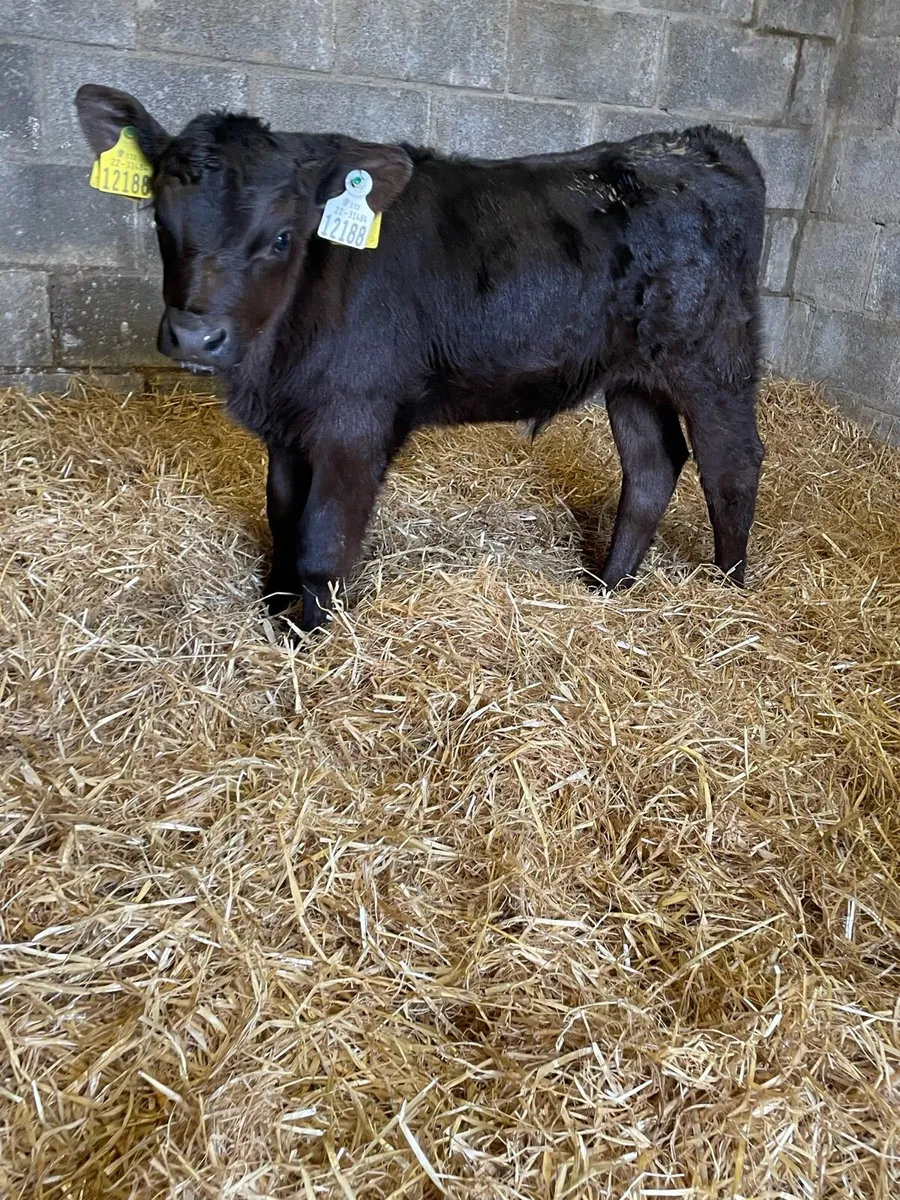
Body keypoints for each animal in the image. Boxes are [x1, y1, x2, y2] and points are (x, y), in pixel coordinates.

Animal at [75, 84, 766, 633]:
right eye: (160, 222)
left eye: (280, 238)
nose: (196, 337)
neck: (268, 366)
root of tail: (700, 142)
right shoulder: (287, 425)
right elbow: (282, 520)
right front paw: (275, 611)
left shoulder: (356, 421)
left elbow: (321, 543)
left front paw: (311, 642)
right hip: (631, 373)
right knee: (653, 464)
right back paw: (608, 588)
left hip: (713, 357)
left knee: (731, 465)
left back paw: (731, 594)